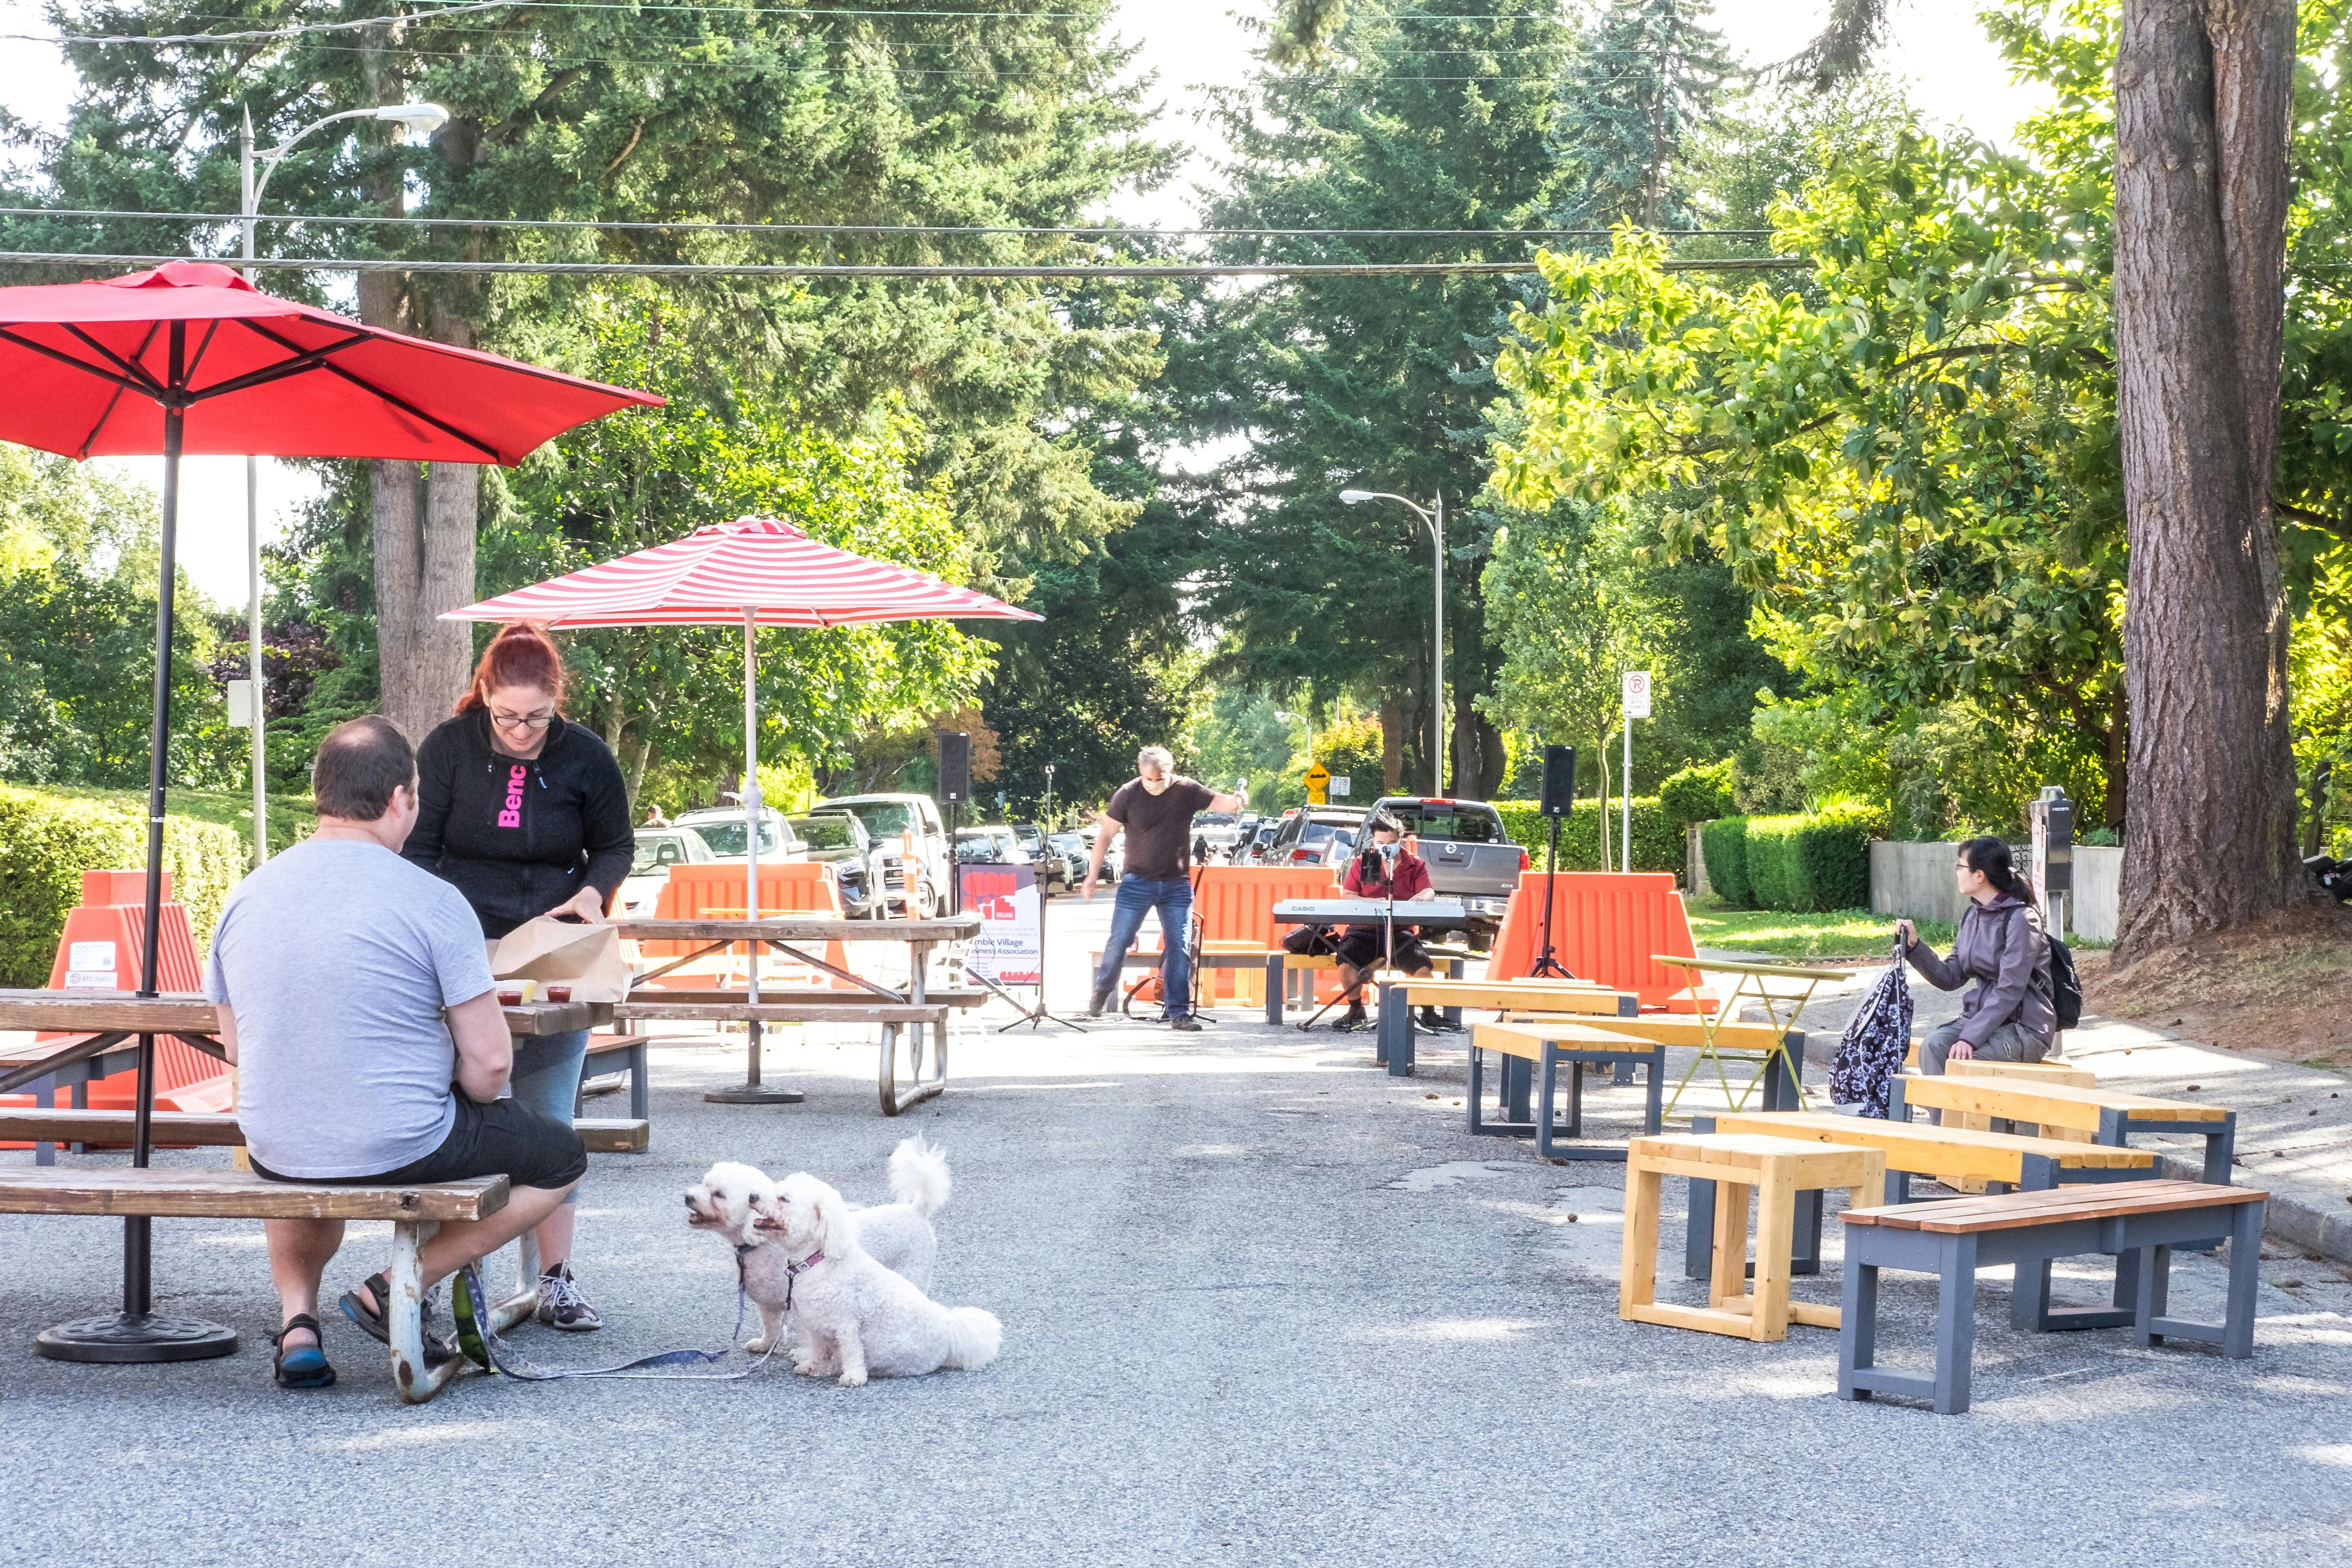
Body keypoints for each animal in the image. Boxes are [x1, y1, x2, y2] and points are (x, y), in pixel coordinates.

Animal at [686, 1133, 950, 1354]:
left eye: (719, 1194)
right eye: (705, 1184)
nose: (688, 1197)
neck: (762, 1245)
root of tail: (917, 1211)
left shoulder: (797, 1303)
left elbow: (806, 1335)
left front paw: (805, 1357)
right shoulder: (768, 1304)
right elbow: (771, 1326)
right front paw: (766, 1345)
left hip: (913, 1272)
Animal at [753, 1170, 1002, 1391]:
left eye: (784, 1198)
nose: (753, 1196)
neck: (817, 1260)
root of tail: (950, 1331)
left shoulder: (847, 1324)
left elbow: (852, 1351)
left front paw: (853, 1377)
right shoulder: (816, 1325)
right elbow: (818, 1350)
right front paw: (814, 1366)